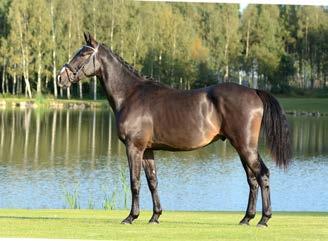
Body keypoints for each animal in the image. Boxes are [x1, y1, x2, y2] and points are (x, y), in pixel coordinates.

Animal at [57, 33, 290, 227]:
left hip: (245, 147)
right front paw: (155, 216)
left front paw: (131, 217)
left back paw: (264, 219)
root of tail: (254, 91)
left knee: (262, 175)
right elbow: (152, 182)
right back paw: (246, 219)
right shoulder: (147, 150)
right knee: (252, 180)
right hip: (242, 148)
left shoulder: (134, 148)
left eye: (84, 53)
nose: (60, 77)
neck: (130, 94)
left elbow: (135, 182)